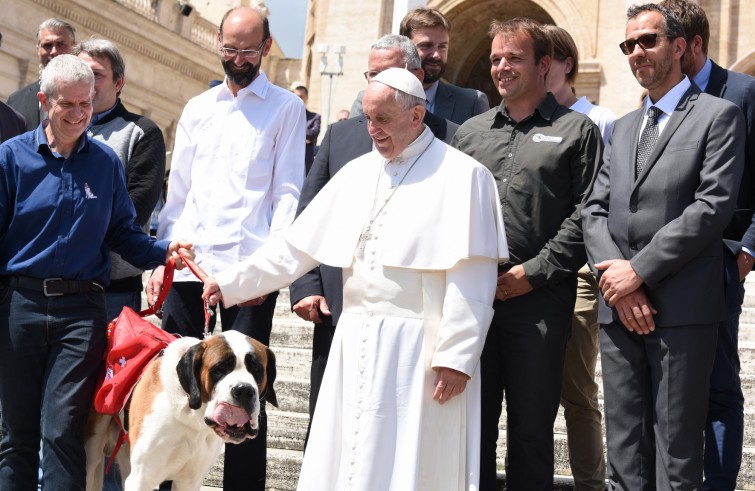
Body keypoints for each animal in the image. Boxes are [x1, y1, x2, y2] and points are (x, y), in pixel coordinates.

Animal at [84, 330, 278, 491]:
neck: (191, 415)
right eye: (219, 369)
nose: (244, 390)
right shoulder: (142, 479)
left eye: (257, 370)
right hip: (92, 453)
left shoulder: (190, 481)